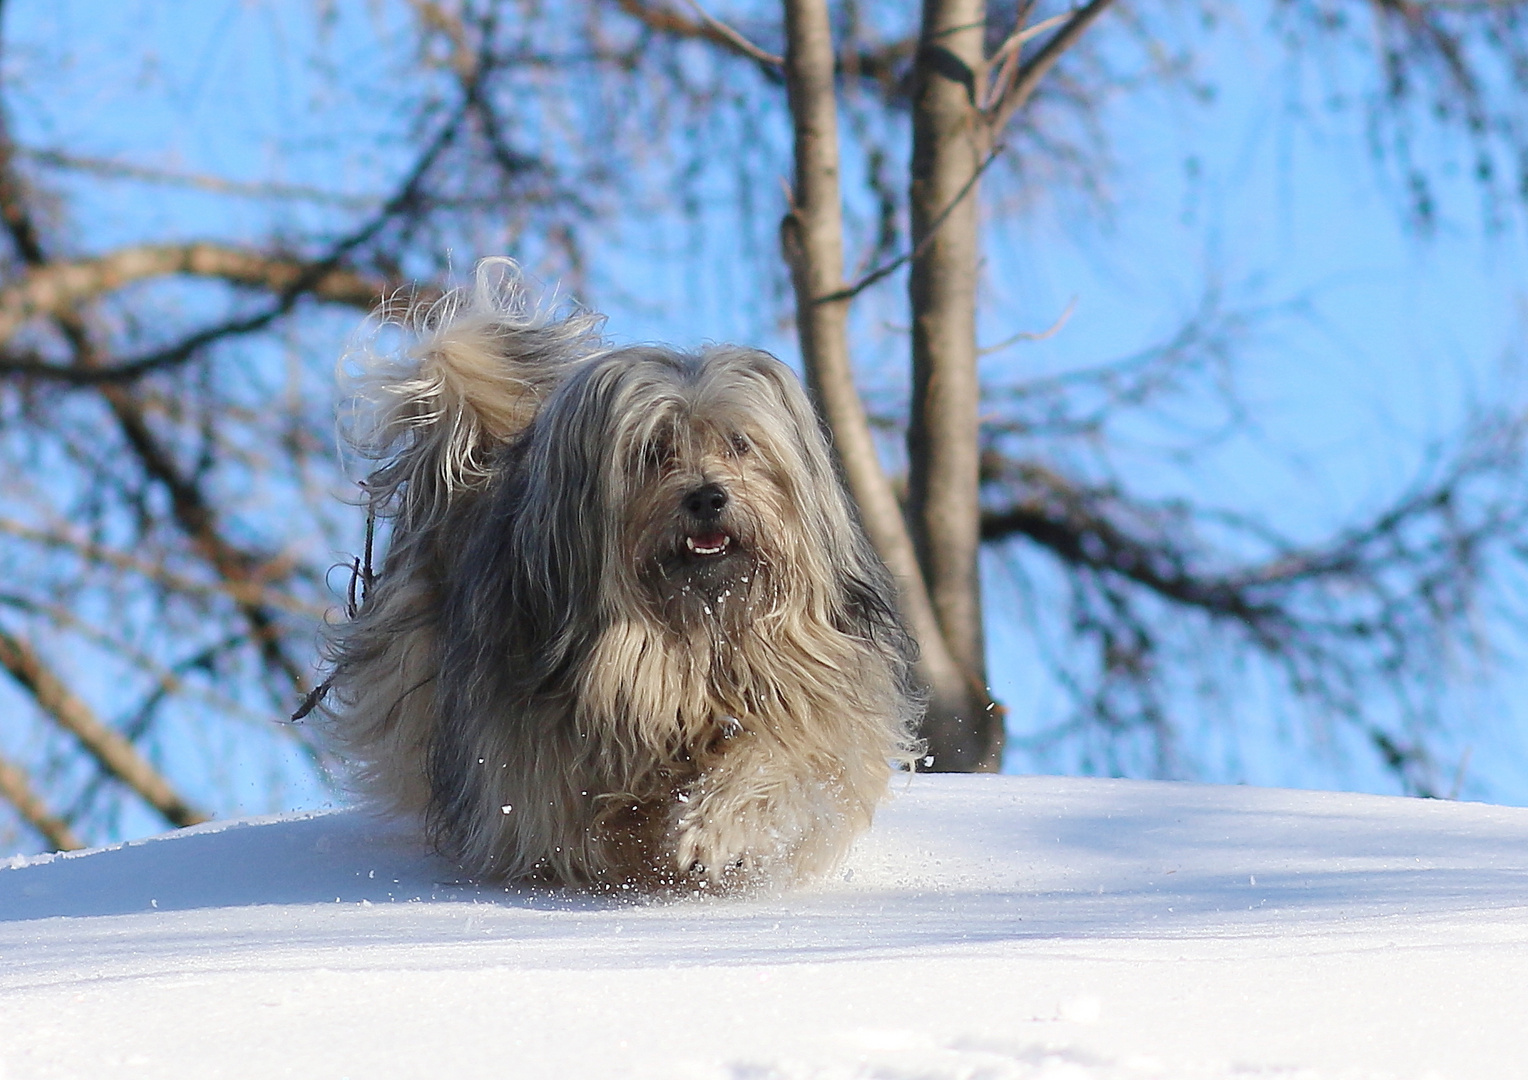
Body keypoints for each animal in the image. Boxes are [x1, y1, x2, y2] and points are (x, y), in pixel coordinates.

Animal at [313, 261, 916, 898]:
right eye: (655, 449)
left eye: (739, 443)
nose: (708, 497)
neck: (691, 627)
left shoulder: (799, 688)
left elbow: (777, 755)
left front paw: (713, 833)